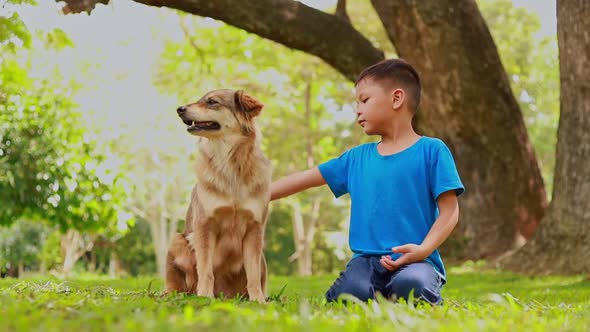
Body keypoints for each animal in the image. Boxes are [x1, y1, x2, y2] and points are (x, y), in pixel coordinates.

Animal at [166, 89, 272, 304]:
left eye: (212, 102)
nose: (179, 109)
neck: (230, 163)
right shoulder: (204, 225)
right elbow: (205, 270)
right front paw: (205, 296)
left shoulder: (255, 229)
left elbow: (253, 275)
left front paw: (258, 300)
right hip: (178, 241)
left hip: (262, 258)